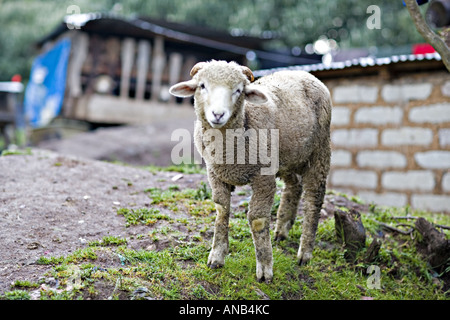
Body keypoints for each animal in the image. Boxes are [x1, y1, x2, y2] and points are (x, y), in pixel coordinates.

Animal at [169, 60, 330, 282]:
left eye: (239, 90)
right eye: (202, 86)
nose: (218, 114)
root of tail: (305, 74)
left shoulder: (263, 178)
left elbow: (257, 220)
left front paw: (265, 268)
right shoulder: (215, 173)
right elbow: (221, 210)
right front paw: (216, 257)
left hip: (319, 151)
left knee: (314, 200)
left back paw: (305, 253)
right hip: (286, 158)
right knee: (294, 186)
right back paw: (282, 230)